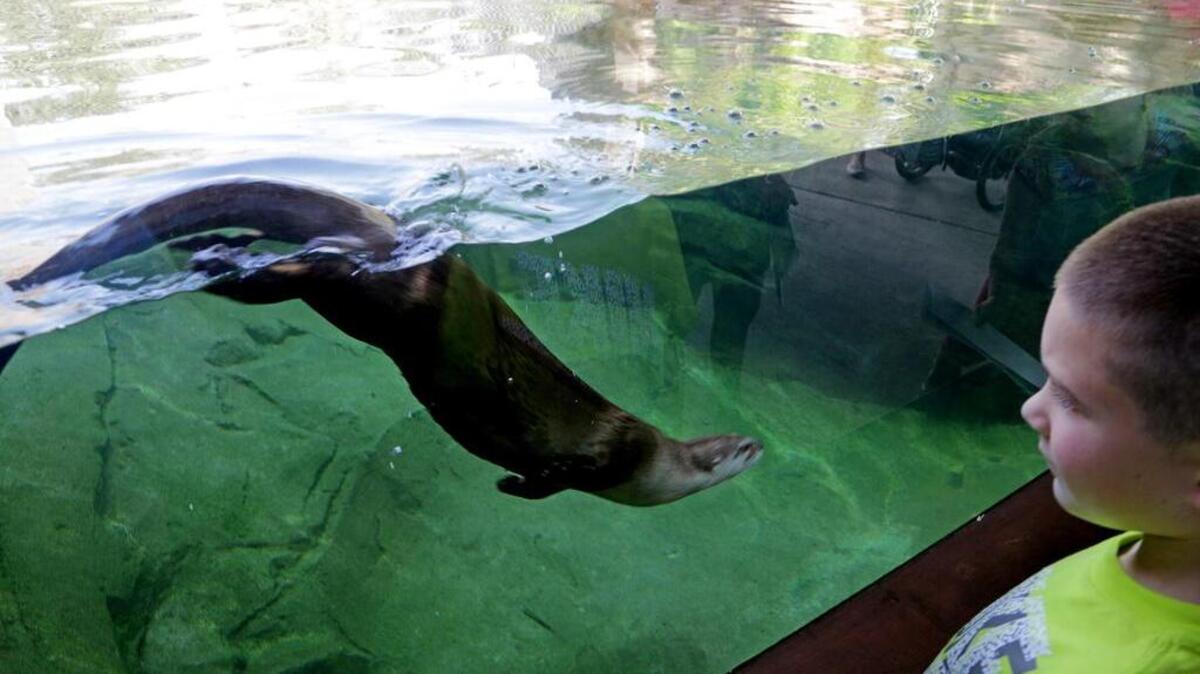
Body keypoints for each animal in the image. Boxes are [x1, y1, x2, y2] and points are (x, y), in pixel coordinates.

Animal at [6, 177, 763, 506]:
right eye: (738, 447)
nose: (761, 445)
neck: (650, 468)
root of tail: (391, 228)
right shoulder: (605, 452)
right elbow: (553, 476)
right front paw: (511, 482)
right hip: (383, 292)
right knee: (294, 273)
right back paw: (214, 258)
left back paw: (209, 252)